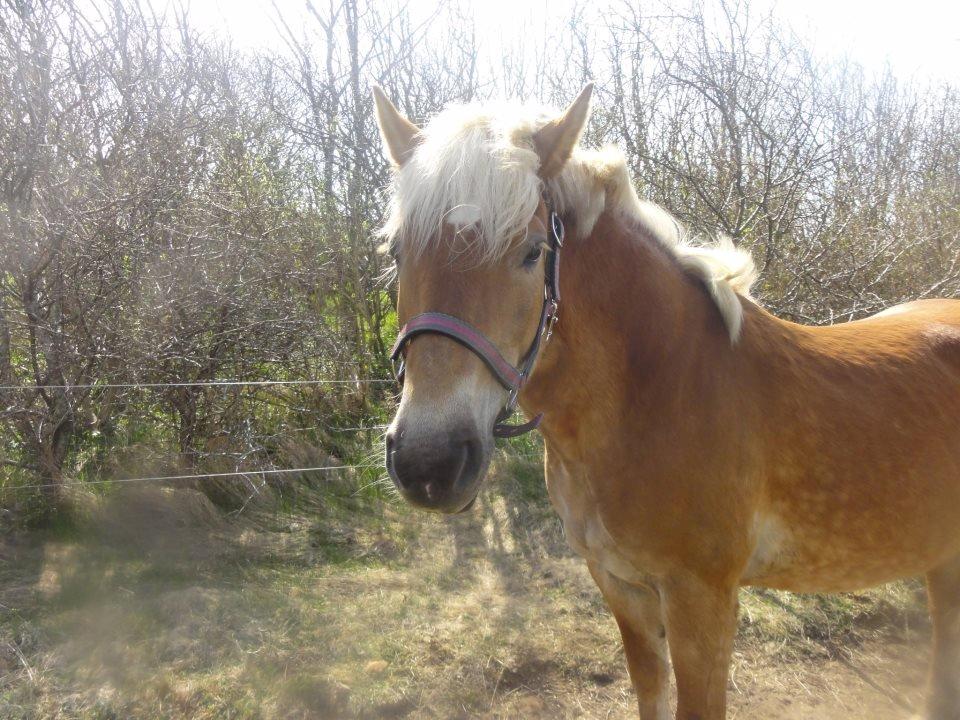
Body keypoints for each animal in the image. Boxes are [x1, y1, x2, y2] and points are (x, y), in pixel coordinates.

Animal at [374, 84, 960, 720]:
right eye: (399, 251)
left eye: (531, 252)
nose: (428, 463)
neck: (654, 395)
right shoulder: (623, 588)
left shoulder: (701, 602)